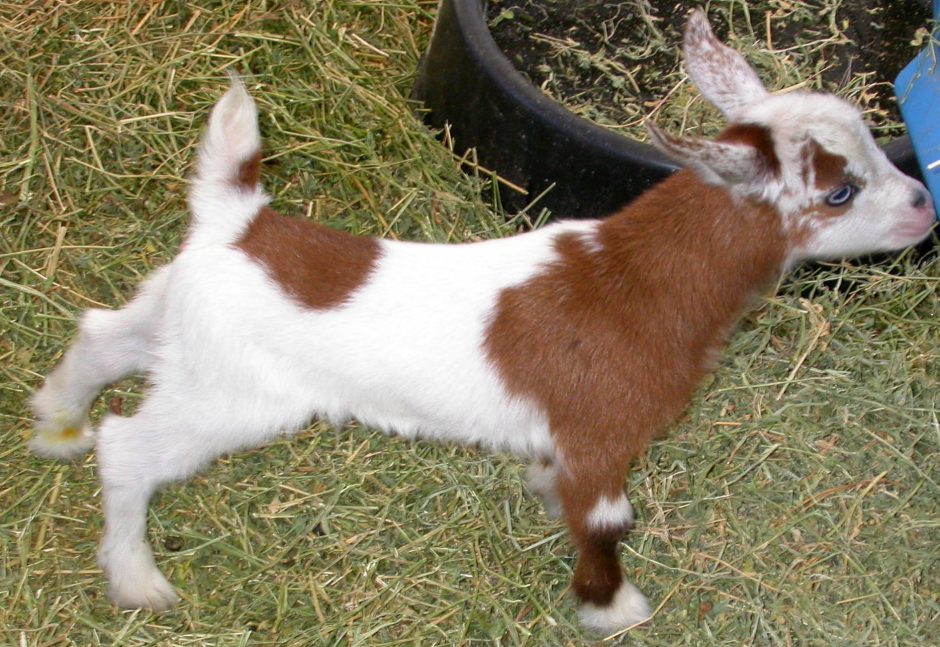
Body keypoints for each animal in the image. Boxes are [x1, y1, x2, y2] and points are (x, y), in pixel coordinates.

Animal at [30, 9, 934, 634]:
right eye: (839, 191)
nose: (925, 205)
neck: (633, 278)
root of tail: (238, 220)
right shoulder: (601, 432)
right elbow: (606, 520)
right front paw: (614, 609)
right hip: (232, 394)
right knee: (130, 446)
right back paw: (136, 578)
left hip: (178, 323)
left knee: (102, 333)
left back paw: (54, 427)